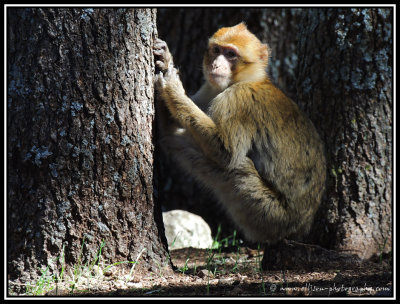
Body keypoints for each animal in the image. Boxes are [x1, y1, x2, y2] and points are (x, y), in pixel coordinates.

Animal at [153, 23, 324, 255]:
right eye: (216, 50)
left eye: (231, 54)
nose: (216, 64)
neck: (248, 79)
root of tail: (303, 227)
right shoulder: (210, 89)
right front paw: (167, 59)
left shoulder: (236, 101)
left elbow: (226, 154)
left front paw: (172, 88)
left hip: (270, 215)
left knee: (236, 169)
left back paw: (166, 129)